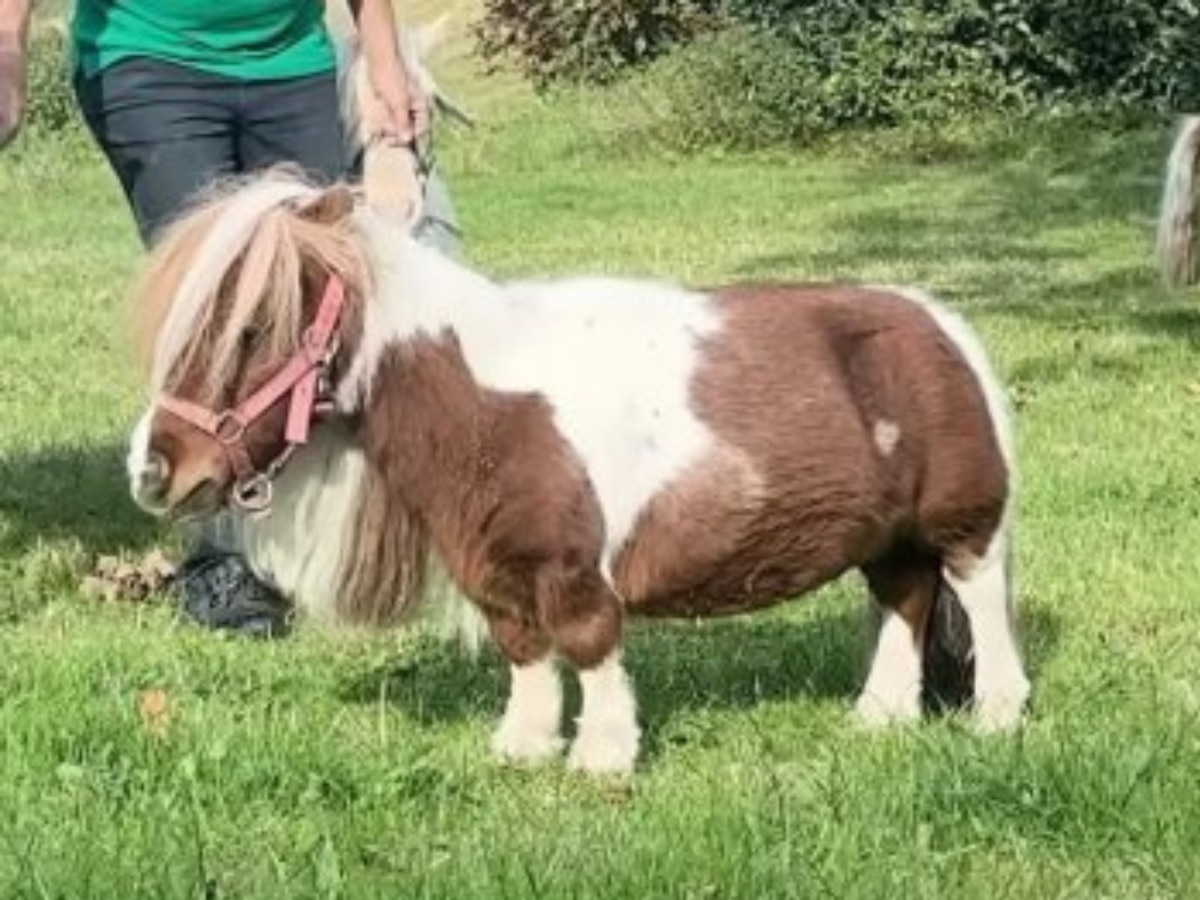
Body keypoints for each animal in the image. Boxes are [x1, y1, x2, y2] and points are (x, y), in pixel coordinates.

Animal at [123, 171, 1032, 776]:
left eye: (251, 329)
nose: (153, 471)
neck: (485, 400)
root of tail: (939, 325)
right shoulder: (492, 563)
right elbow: (525, 650)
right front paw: (522, 747)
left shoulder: (572, 567)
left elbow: (588, 643)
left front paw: (601, 756)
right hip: (888, 539)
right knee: (906, 602)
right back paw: (879, 717)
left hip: (964, 521)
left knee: (974, 594)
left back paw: (997, 715)